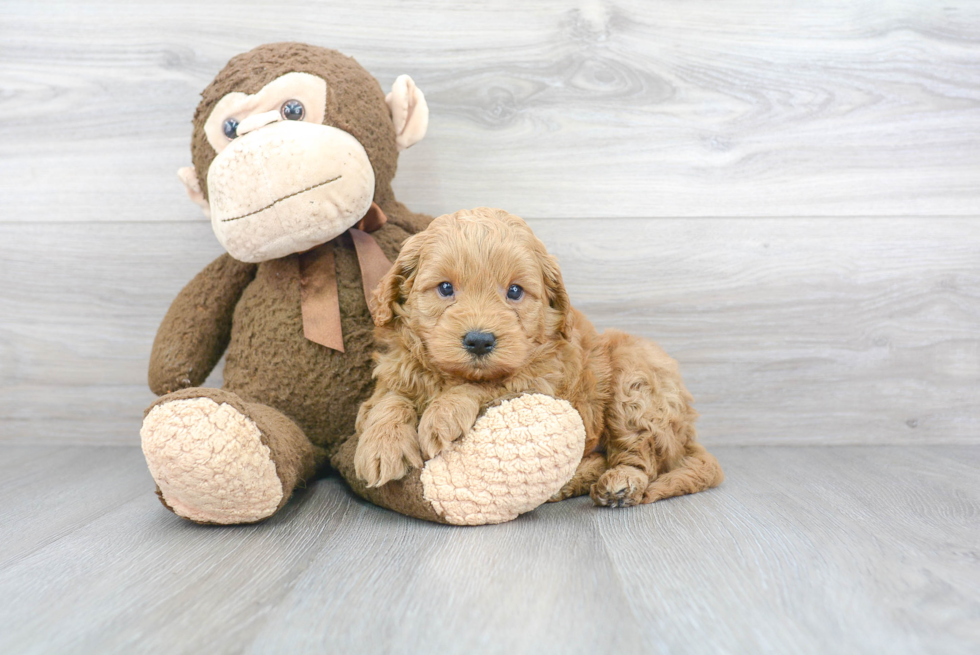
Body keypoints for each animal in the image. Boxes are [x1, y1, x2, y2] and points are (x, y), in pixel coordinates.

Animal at [356, 206, 724, 508]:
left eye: (515, 291)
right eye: (445, 288)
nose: (479, 341)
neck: (451, 374)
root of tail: (689, 434)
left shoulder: (541, 380)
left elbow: (491, 384)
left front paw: (442, 413)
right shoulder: (395, 370)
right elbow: (390, 398)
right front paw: (382, 445)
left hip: (634, 381)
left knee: (640, 456)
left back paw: (618, 483)